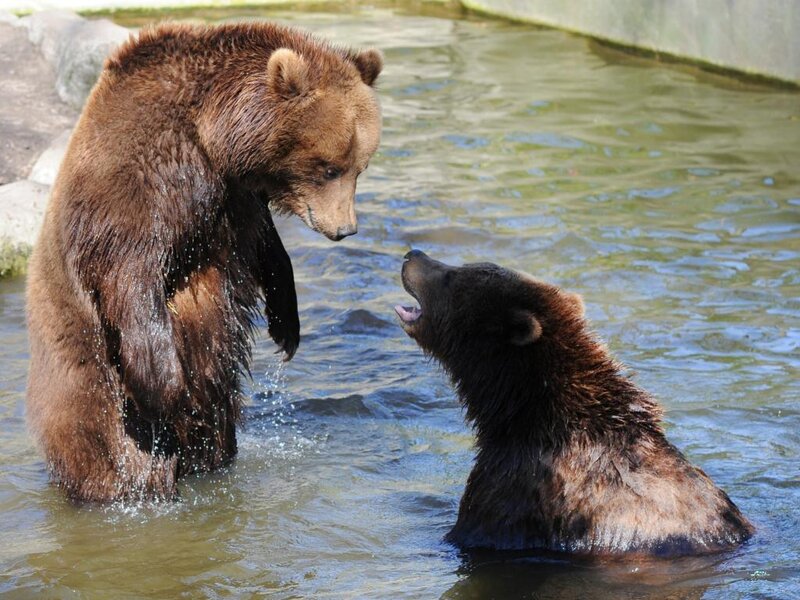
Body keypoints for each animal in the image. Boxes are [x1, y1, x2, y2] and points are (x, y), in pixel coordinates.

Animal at [25, 21, 383, 503]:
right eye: (329, 167)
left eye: (359, 166)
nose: (345, 228)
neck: (213, 135)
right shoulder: (140, 179)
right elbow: (130, 273)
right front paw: (166, 388)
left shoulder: (233, 199)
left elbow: (267, 248)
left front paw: (286, 327)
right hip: (89, 381)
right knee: (109, 449)